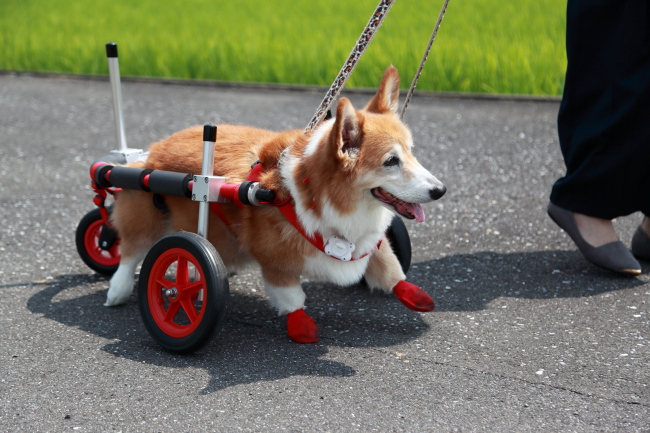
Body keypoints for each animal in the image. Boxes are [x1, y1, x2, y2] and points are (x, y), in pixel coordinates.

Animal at [105, 65, 446, 340]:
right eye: (391, 161)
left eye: (411, 152)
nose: (440, 190)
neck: (321, 196)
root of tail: (152, 150)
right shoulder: (275, 261)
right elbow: (292, 297)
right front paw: (301, 327)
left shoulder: (370, 239)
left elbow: (390, 266)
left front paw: (413, 294)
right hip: (145, 212)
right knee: (132, 251)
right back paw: (119, 290)